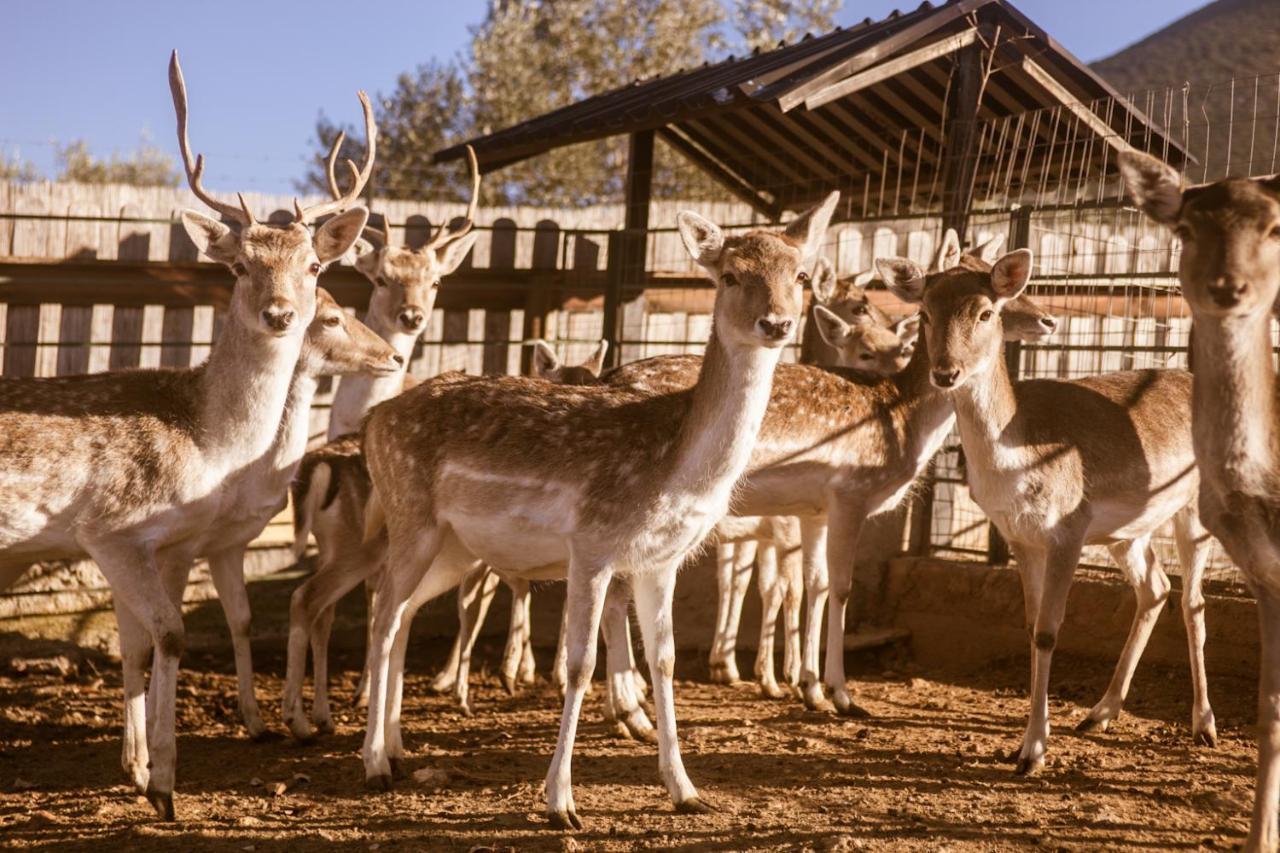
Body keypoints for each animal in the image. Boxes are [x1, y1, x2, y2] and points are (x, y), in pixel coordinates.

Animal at [0, 48, 373, 819]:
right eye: (238, 265)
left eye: (314, 265)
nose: (280, 313)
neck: (204, 441)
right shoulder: (110, 530)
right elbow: (168, 635)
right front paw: (166, 784)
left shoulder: (162, 544)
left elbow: (149, 643)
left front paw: (143, 771)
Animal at [358, 194, 839, 824]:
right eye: (731, 275)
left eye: (801, 276)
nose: (777, 323)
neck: (673, 469)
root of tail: (372, 422)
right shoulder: (591, 544)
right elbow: (580, 663)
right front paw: (561, 801)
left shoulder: (661, 560)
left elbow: (662, 660)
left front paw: (685, 790)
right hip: (409, 514)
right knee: (383, 614)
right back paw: (373, 762)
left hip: (453, 545)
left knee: (406, 611)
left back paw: (396, 746)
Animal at [870, 239, 1218, 778]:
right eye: (924, 313)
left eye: (987, 311)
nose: (945, 372)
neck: (1014, 460)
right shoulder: (1019, 536)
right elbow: (1032, 629)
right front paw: (1024, 744)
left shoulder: (1068, 528)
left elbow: (1051, 632)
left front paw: (1033, 751)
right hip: (1128, 531)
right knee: (1156, 588)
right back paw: (1099, 713)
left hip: (1196, 510)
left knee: (1194, 600)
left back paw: (1204, 726)